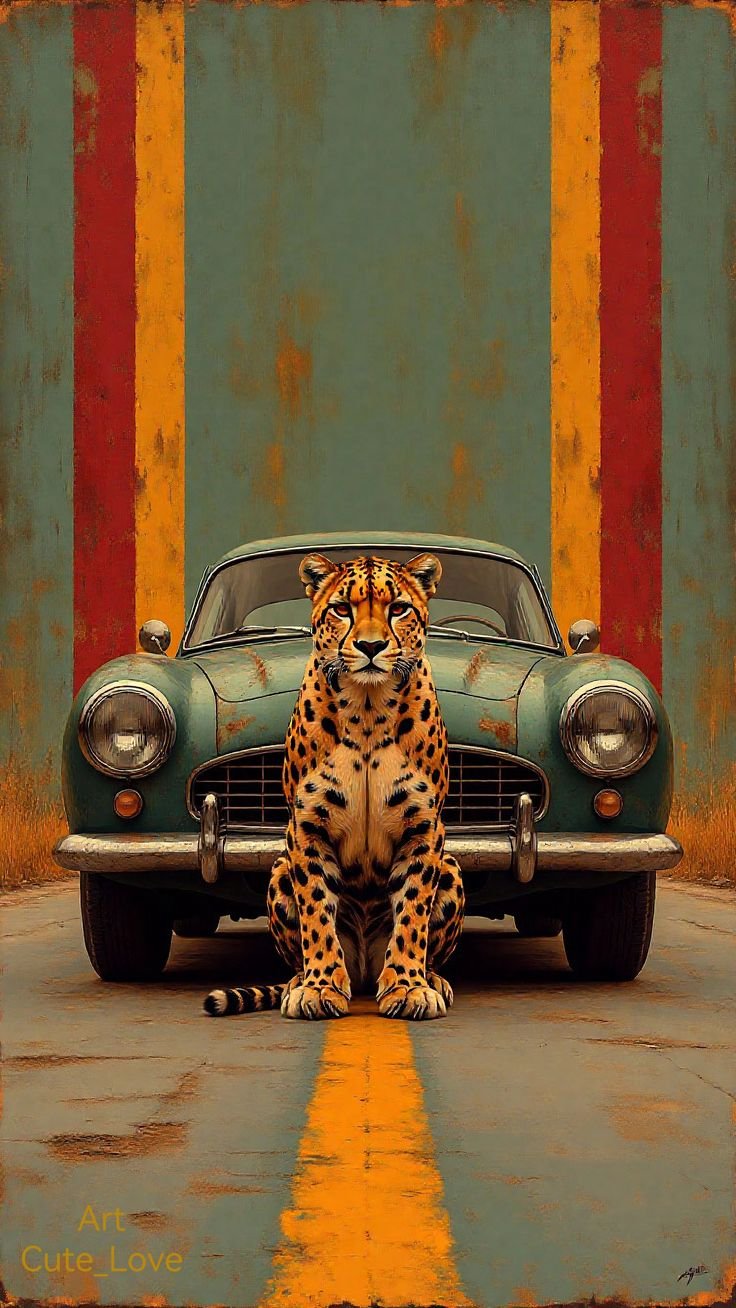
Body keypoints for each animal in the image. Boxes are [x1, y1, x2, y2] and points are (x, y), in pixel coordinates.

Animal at [204, 551, 465, 1021]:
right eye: (342, 609)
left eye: (398, 609)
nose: (371, 647)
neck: (368, 708)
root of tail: (362, 972)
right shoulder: (307, 826)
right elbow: (315, 912)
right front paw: (319, 986)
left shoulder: (425, 826)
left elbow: (413, 912)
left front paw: (409, 987)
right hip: (278, 870)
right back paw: (298, 982)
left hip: (451, 866)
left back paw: (432, 979)